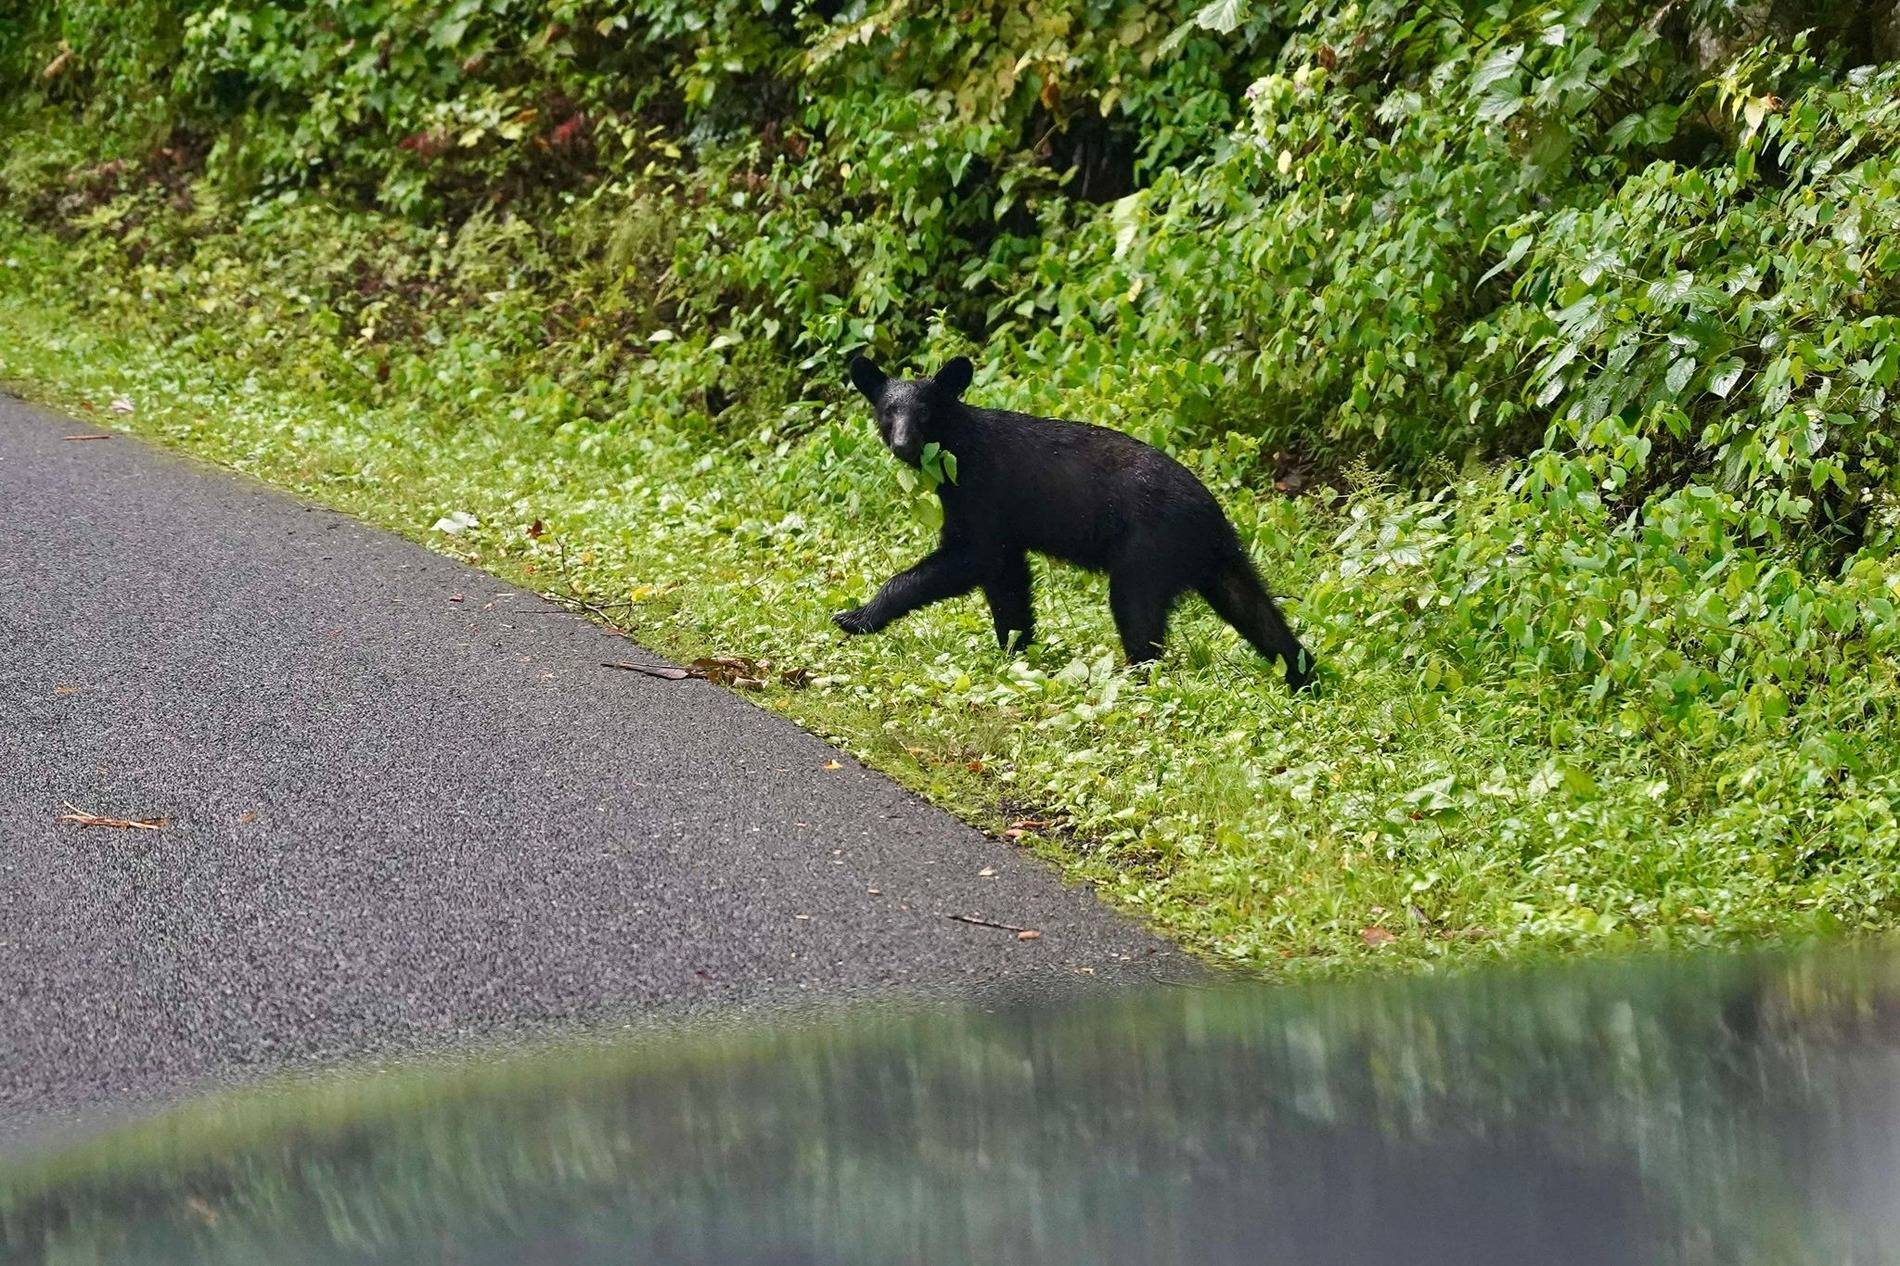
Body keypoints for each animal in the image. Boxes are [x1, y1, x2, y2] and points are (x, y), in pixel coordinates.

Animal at [834, 354, 1315, 691]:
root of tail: (1211, 516)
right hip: (1219, 562)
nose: (903, 444)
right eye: (887, 412)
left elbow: (969, 557)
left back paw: (1135, 680)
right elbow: (1008, 582)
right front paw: (1018, 651)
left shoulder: (984, 493)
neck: (958, 453)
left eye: (925, 413)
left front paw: (855, 616)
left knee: (1137, 613)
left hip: (1147, 551)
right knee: (1255, 609)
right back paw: (1305, 675)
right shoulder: (1003, 525)